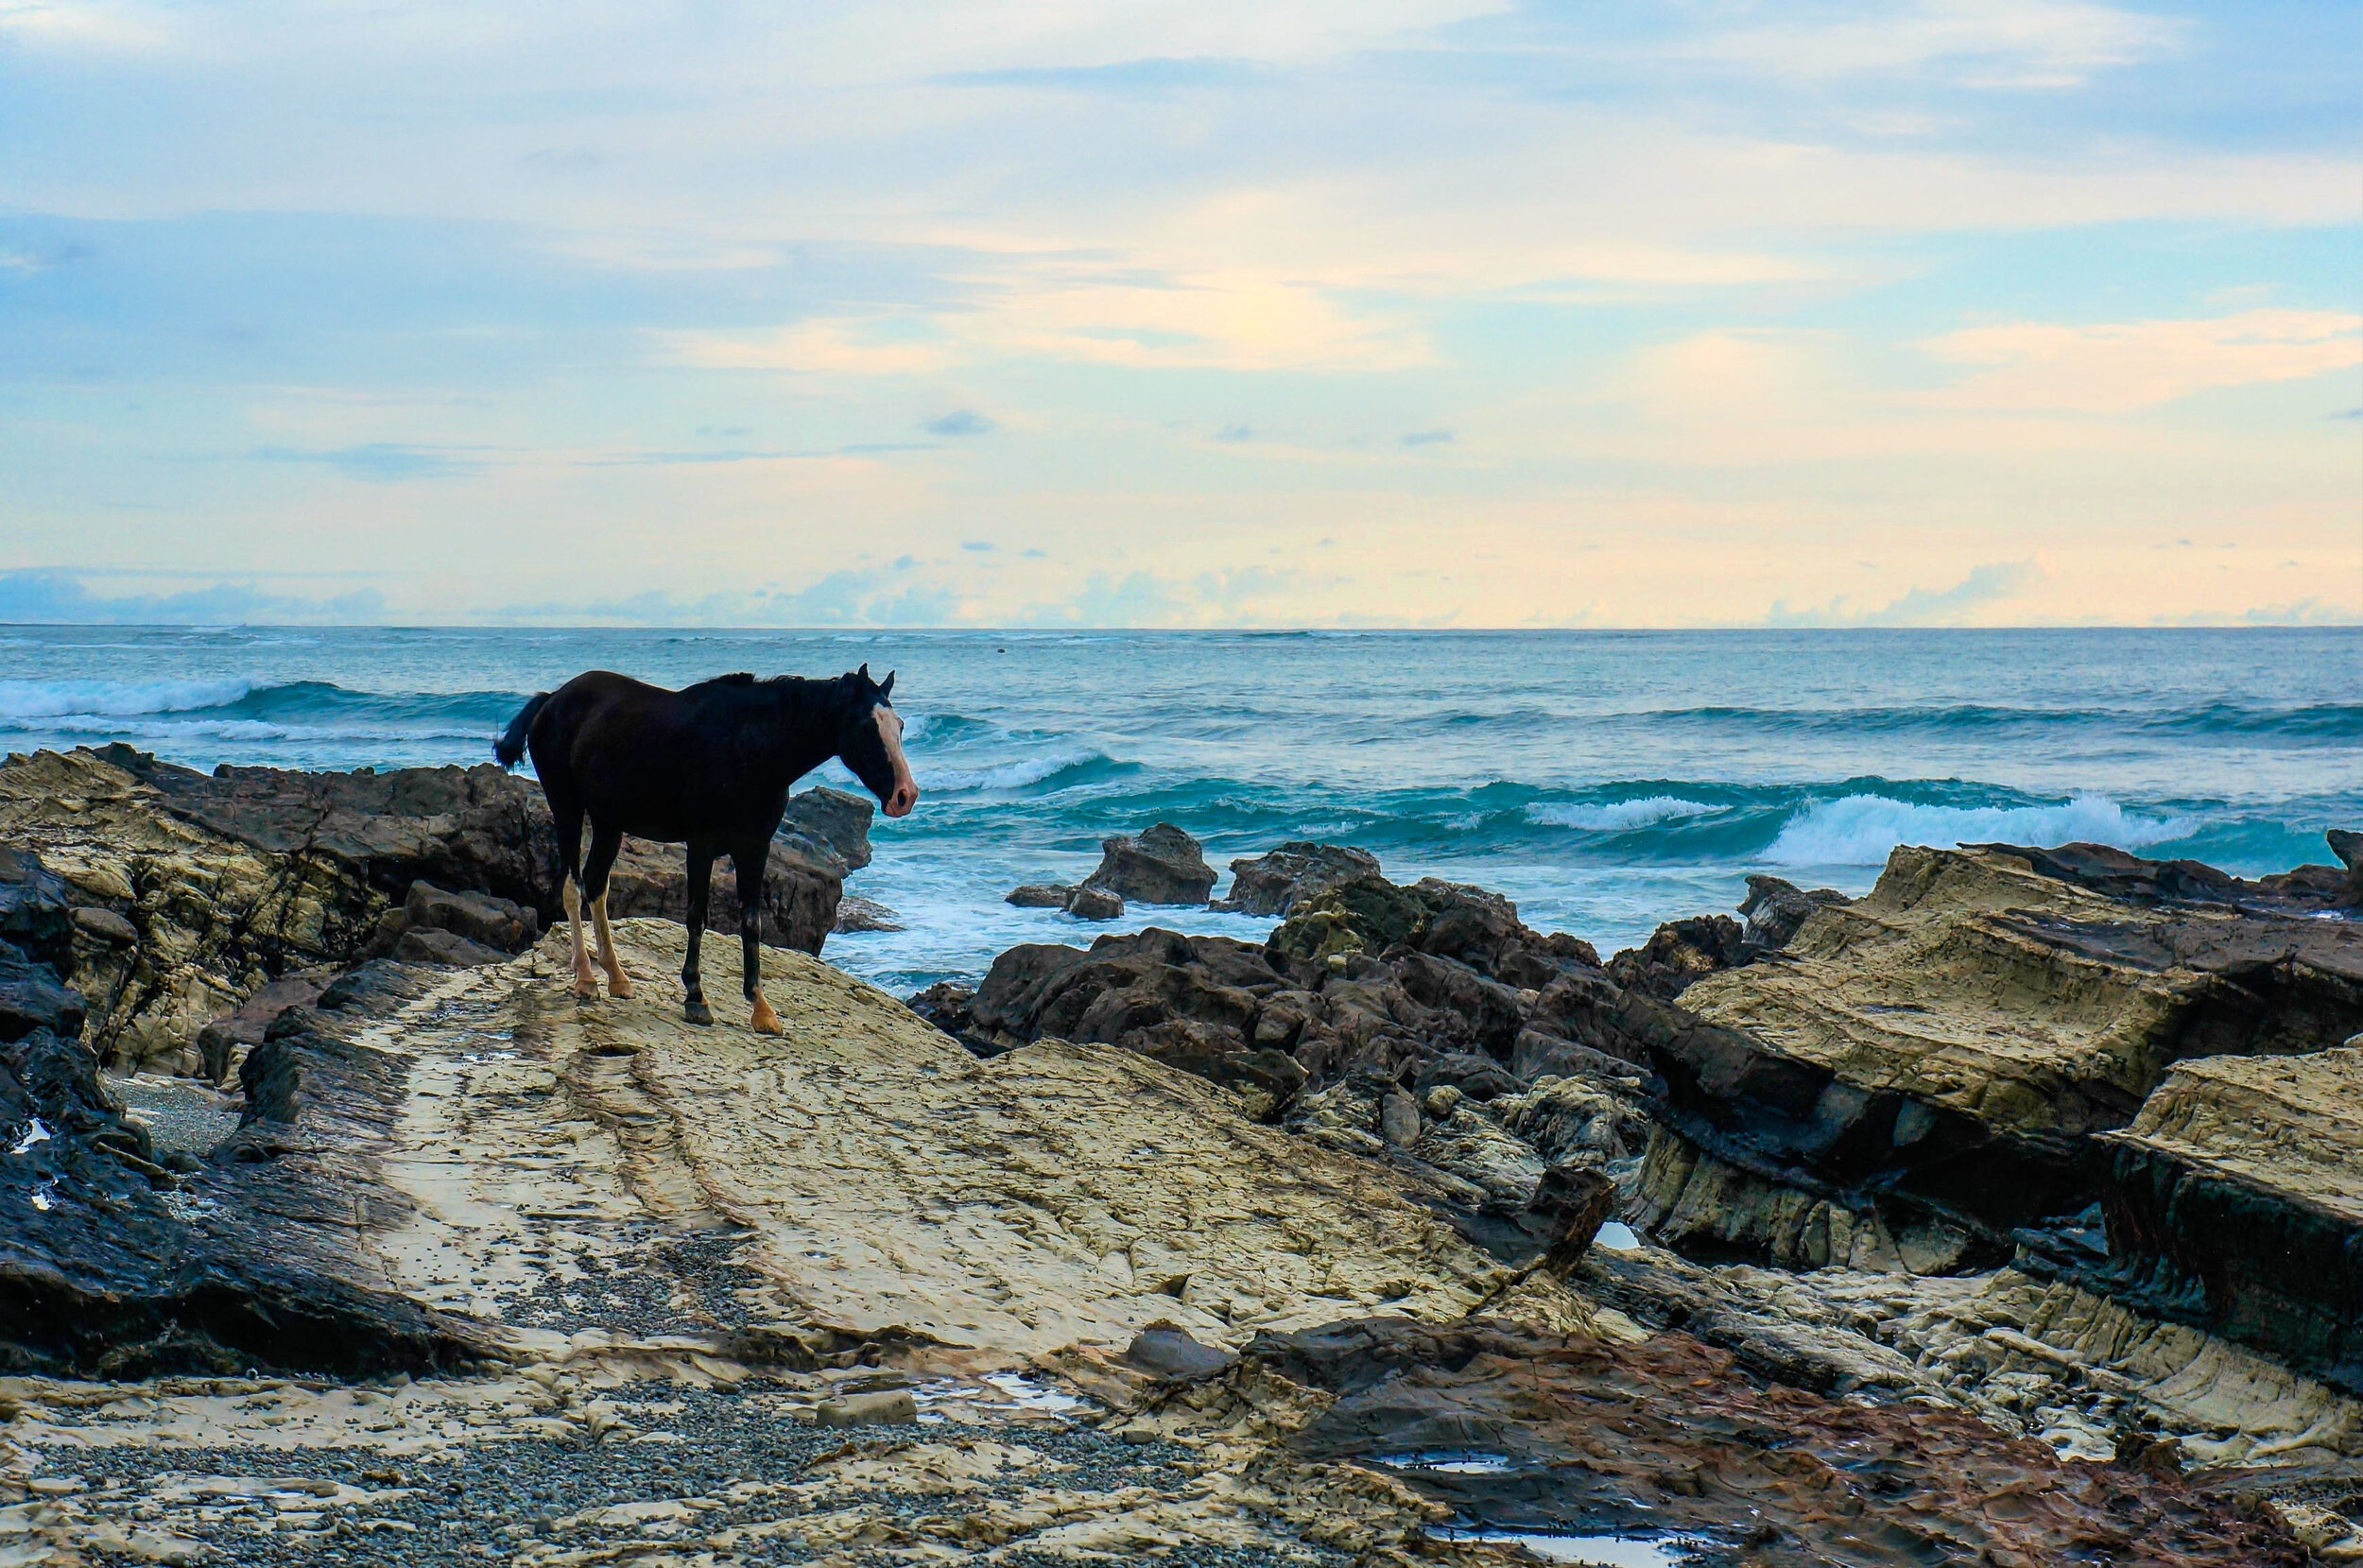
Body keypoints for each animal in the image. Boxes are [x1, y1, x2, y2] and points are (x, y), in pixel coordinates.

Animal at [492, 665, 912, 1034]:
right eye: (866, 726)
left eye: (900, 726)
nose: (904, 796)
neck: (751, 749)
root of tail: (552, 699)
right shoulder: (702, 845)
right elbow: (696, 916)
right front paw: (696, 996)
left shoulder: (754, 848)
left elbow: (752, 922)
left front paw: (761, 1009)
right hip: (567, 807)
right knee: (572, 886)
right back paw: (584, 977)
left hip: (608, 823)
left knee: (595, 887)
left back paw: (617, 977)